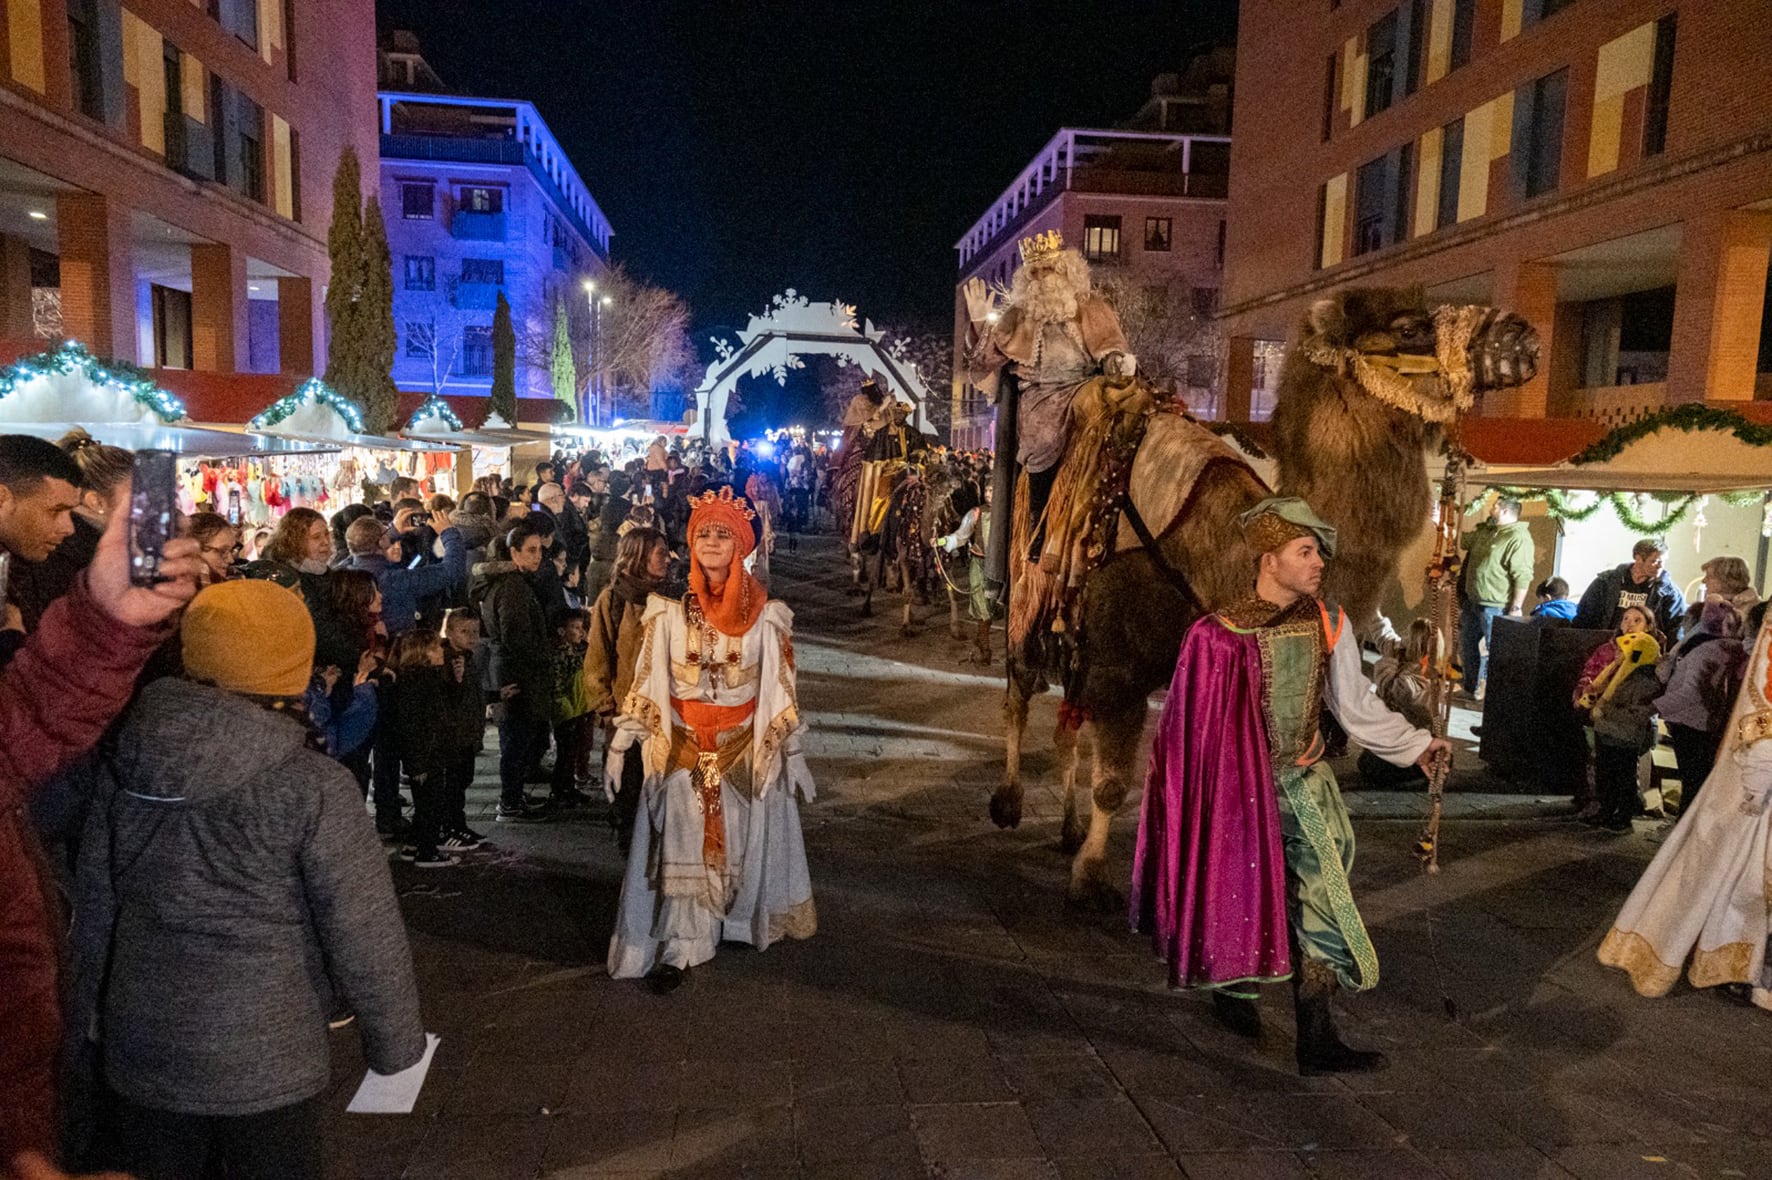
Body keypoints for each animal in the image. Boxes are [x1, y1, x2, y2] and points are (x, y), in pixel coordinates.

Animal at [992, 288, 1545, 903]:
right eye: (1408, 327)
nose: (1521, 336)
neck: (1217, 548)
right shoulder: (1119, 667)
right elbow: (1111, 782)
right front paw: (1090, 879)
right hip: (1028, 601)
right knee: (1019, 691)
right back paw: (1009, 802)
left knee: (1067, 725)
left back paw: (1066, 827)